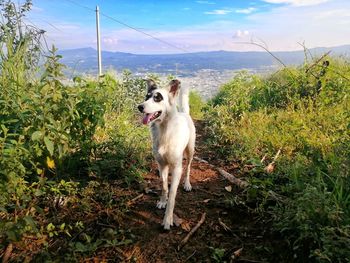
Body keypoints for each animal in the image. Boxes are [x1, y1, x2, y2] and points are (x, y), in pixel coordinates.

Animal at [138, 79, 196, 230]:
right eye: (146, 97)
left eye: (157, 98)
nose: (139, 107)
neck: (165, 130)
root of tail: (184, 113)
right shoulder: (161, 164)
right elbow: (164, 185)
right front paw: (162, 201)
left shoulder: (176, 168)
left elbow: (173, 196)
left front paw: (167, 219)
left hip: (190, 150)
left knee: (188, 167)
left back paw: (187, 183)